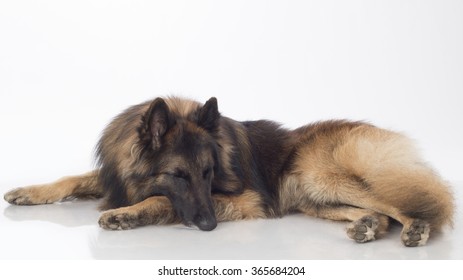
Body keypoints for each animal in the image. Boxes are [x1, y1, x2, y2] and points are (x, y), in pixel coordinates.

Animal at [3, 97, 454, 246]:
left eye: (208, 173)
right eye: (180, 174)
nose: (208, 226)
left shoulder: (245, 198)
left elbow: (159, 201)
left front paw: (125, 215)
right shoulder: (116, 177)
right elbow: (71, 179)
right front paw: (27, 191)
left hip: (319, 176)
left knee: (413, 201)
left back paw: (417, 228)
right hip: (313, 198)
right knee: (378, 211)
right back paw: (369, 227)